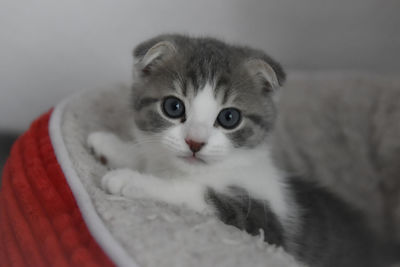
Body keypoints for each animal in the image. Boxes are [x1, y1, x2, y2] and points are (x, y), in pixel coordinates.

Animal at [86, 35, 396, 267]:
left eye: (229, 117)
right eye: (173, 107)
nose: (195, 142)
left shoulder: (262, 223)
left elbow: (195, 193)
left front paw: (130, 180)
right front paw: (110, 145)